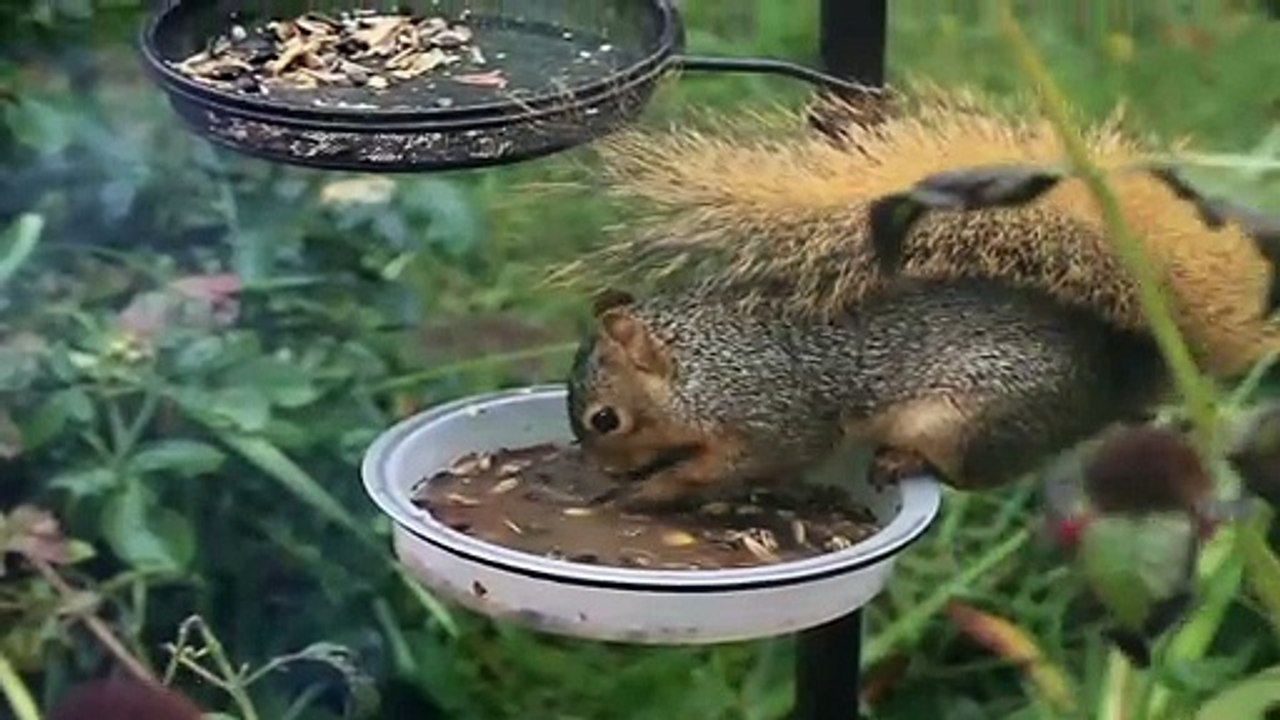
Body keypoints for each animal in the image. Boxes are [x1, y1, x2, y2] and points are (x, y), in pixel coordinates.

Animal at [561, 87, 1280, 512]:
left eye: (605, 419)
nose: (602, 474)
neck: (702, 366)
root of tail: (1113, 378)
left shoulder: (772, 412)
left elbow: (754, 461)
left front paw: (652, 491)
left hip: (974, 420)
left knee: (972, 473)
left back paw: (903, 459)